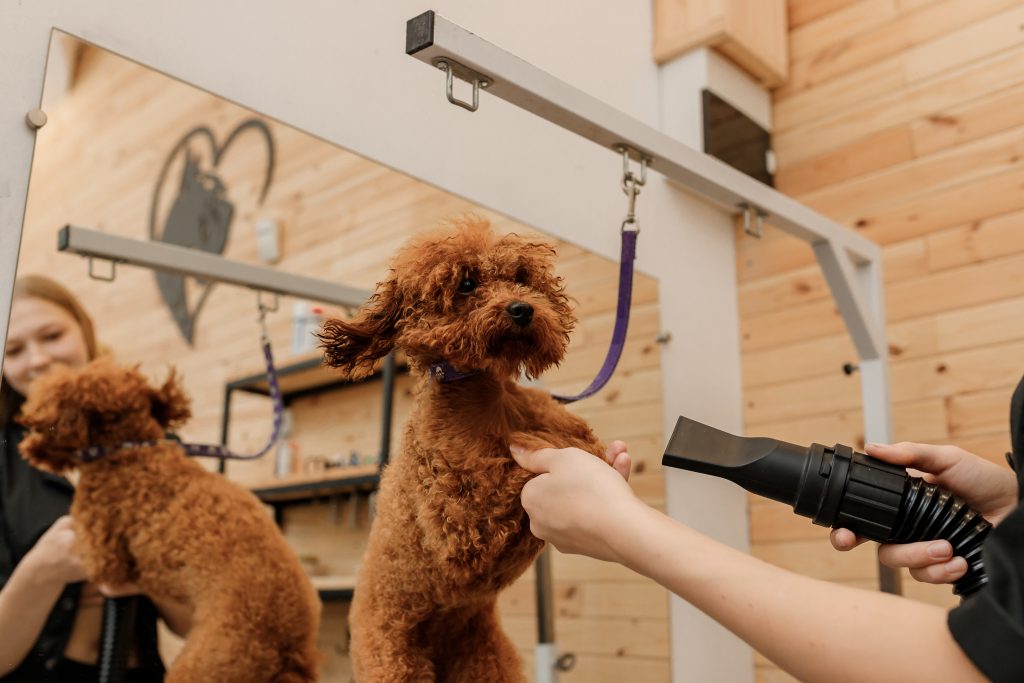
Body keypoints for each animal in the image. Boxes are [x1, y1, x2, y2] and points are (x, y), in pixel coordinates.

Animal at [17, 360, 319, 679]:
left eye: (51, 407)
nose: (26, 430)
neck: (129, 449)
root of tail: (289, 649)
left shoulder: (102, 552)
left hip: (207, 663)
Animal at [319, 216, 610, 679]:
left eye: (521, 278)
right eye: (467, 284)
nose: (522, 309)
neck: (485, 403)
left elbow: (579, 440)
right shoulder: (463, 527)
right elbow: (519, 469)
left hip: (484, 659)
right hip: (392, 659)